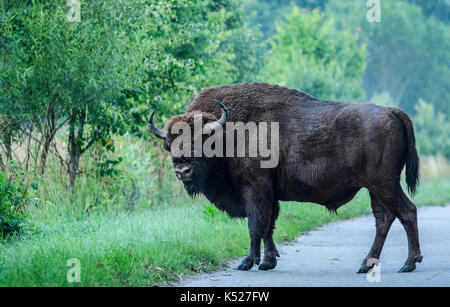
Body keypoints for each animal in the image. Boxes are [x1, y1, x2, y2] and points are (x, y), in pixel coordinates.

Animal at [149, 83, 422, 274]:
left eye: (201, 139)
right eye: (169, 142)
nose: (182, 170)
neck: (228, 133)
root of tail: (392, 111)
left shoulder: (255, 188)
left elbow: (256, 224)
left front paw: (247, 262)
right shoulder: (271, 194)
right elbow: (269, 225)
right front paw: (267, 261)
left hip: (383, 184)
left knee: (406, 211)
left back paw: (409, 263)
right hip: (375, 188)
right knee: (384, 219)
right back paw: (366, 264)